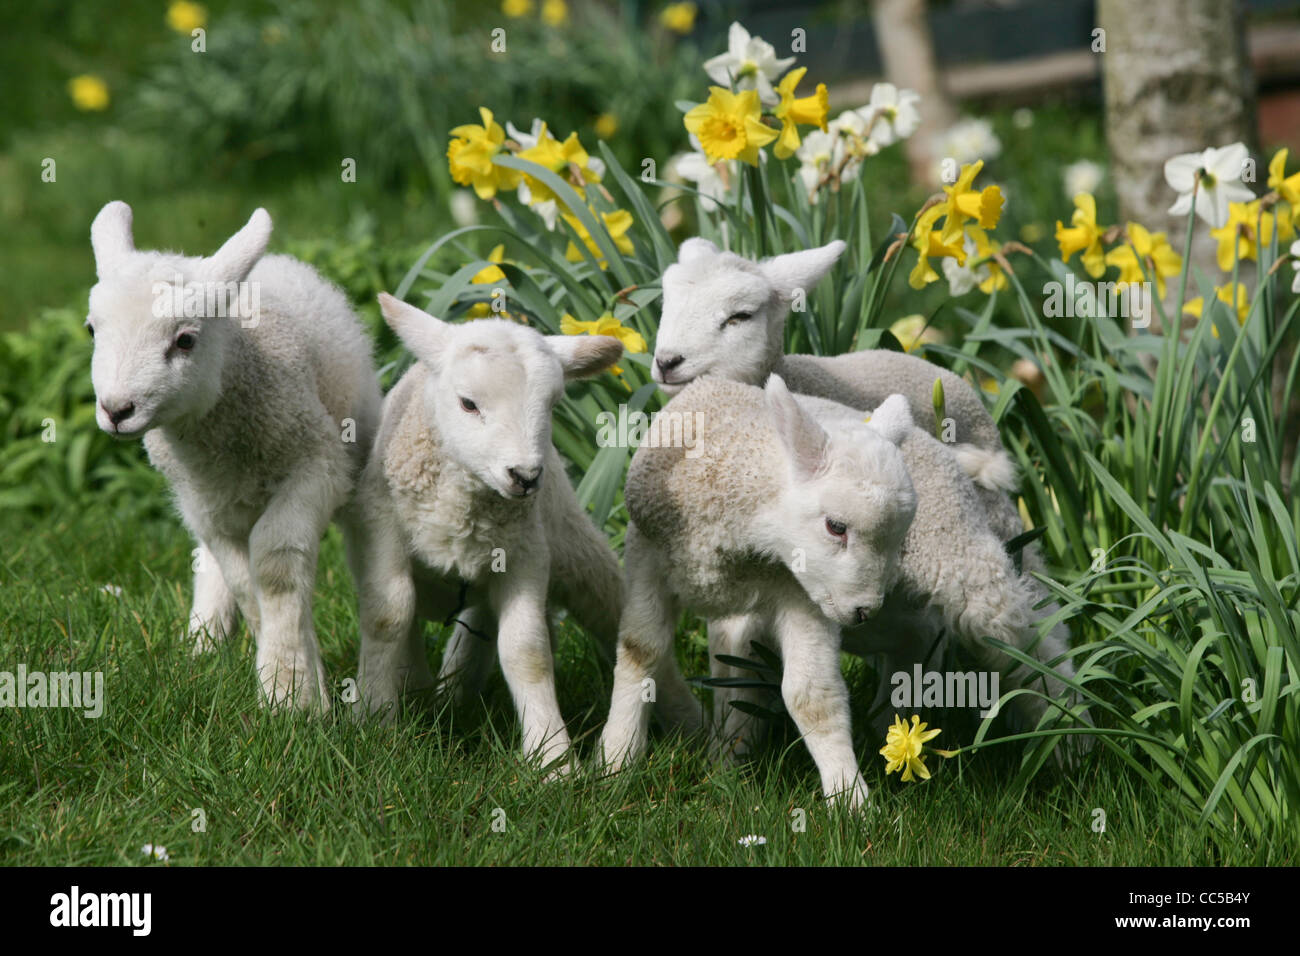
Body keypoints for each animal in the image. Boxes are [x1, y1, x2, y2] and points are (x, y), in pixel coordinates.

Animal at [85, 200, 379, 712]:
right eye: (91, 331)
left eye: (185, 340)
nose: (117, 410)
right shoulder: (202, 498)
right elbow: (244, 581)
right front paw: (293, 675)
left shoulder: (317, 468)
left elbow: (276, 564)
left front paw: (291, 692)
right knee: (209, 559)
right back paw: (201, 645)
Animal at [356, 295, 634, 775]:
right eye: (468, 403)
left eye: (553, 405)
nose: (525, 476)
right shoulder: (381, 531)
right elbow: (388, 617)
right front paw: (375, 722)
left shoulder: (525, 554)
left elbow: (527, 652)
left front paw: (554, 761)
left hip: (573, 548)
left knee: (608, 611)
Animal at [598, 377, 915, 811]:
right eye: (836, 526)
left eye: (900, 541)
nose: (864, 611)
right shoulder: (646, 555)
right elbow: (640, 650)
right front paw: (617, 760)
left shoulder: (801, 589)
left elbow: (812, 696)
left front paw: (851, 800)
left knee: (739, 665)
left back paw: (728, 760)